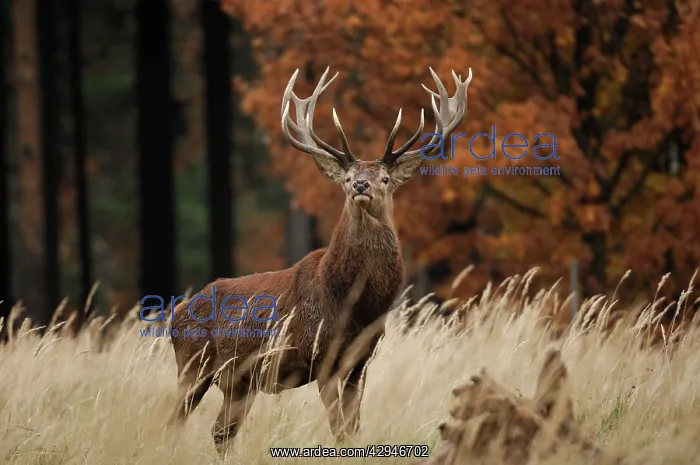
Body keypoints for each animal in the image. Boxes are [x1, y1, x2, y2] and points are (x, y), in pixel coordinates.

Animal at [165, 65, 472, 455]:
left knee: (221, 431)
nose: (360, 185)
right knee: (175, 424)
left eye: (385, 178)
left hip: (239, 382)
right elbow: (339, 429)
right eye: (347, 176)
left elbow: (353, 427)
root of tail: (176, 315)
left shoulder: (360, 362)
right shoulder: (324, 357)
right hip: (193, 364)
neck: (353, 302)